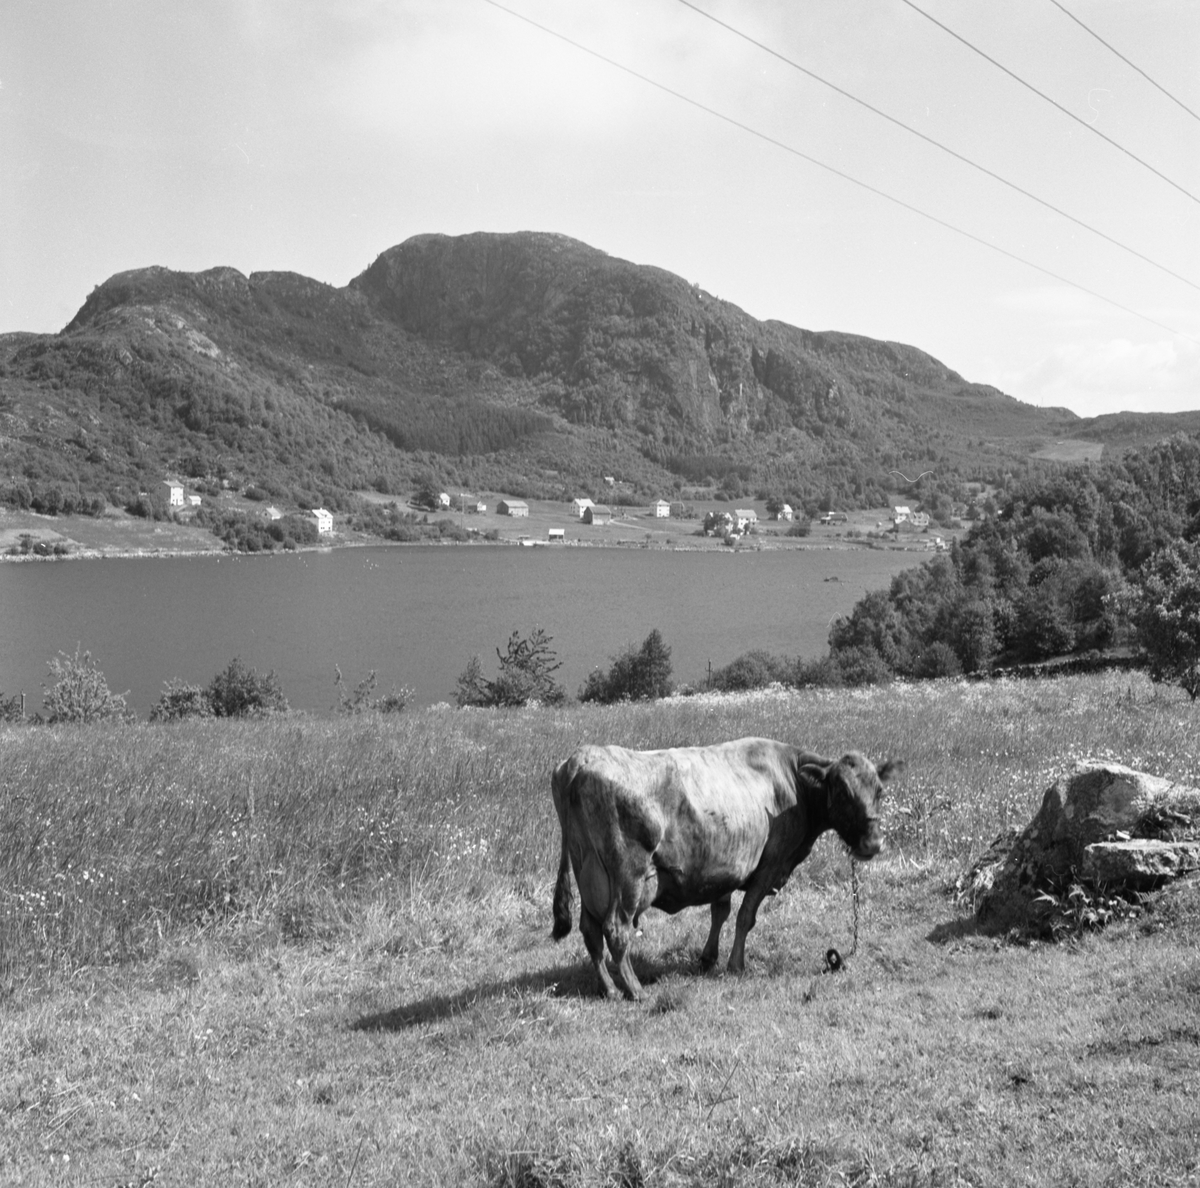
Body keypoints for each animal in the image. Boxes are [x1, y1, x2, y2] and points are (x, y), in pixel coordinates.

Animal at [552, 739, 902, 998]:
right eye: (842, 793)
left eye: (880, 791)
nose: (872, 843)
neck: (792, 780)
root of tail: (579, 759)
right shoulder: (769, 864)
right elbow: (745, 917)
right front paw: (735, 965)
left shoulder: (723, 868)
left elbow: (719, 911)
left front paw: (708, 958)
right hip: (628, 877)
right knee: (616, 929)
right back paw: (636, 990)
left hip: (589, 876)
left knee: (591, 932)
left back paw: (610, 989)